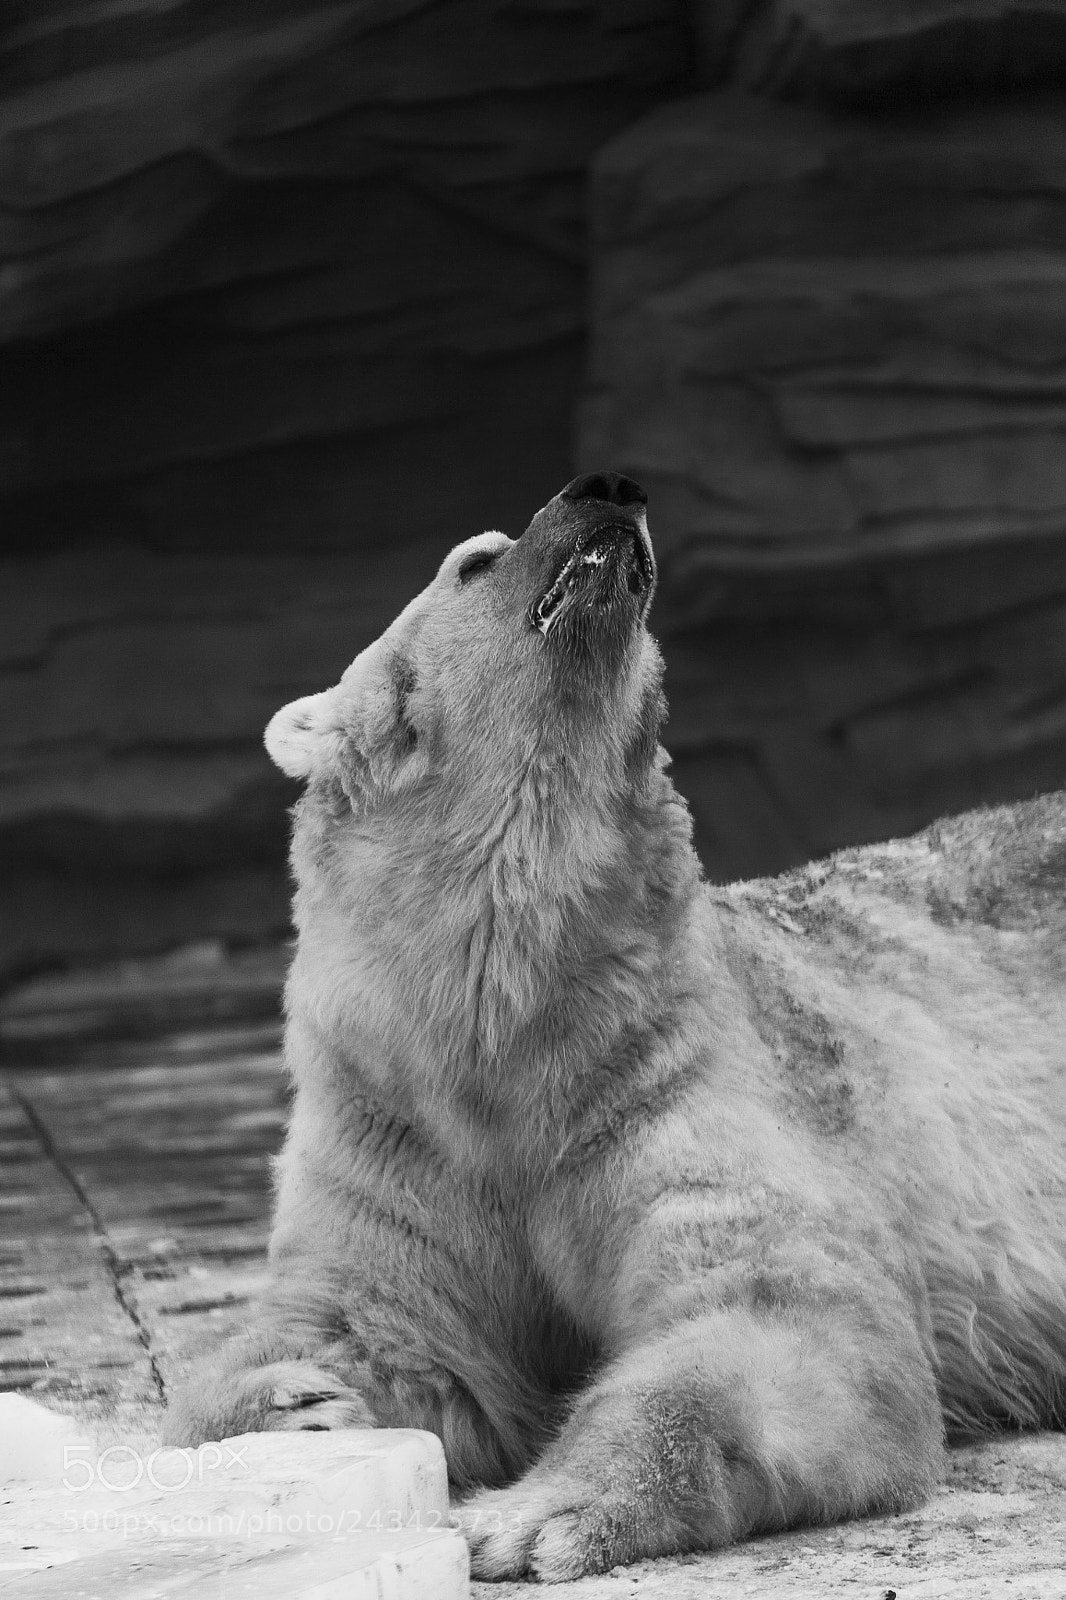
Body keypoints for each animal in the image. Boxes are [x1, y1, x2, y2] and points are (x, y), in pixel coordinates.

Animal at [163, 472, 1066, 1582]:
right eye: (477, 560)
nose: (611, 489)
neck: (512, 1026)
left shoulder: (660, 1072)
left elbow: (777, 1307)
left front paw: (530, 1516)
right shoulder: (393, 1118)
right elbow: (384, 1326)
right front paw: (294, 1398)